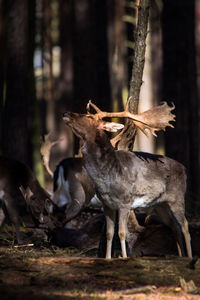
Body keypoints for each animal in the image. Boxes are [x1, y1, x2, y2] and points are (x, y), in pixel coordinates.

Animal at [63, 101, 193, 258]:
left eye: (89, 116)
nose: (66, 113)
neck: (108, 176)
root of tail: (184, 169)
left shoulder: (125, 201)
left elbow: (122, 233)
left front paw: (124, 257)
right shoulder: (107, 204)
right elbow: (109, 233)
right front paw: (107, 258)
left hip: (177, 198)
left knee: (185, 225)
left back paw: (189, 256)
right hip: (161, 205)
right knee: (174, 226)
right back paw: (181, 256)